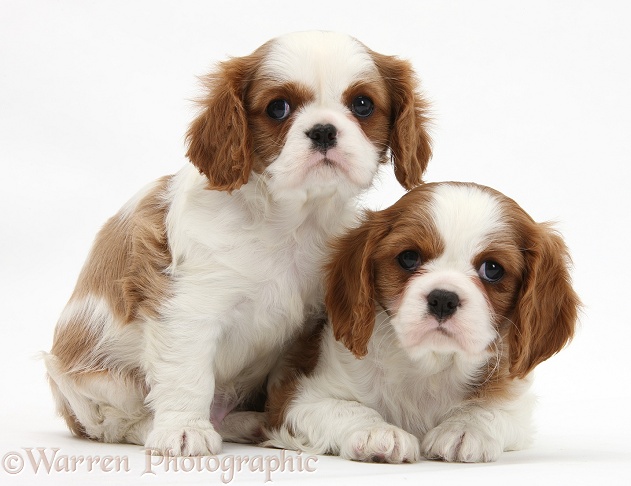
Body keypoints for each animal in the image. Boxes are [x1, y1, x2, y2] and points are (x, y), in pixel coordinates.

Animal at [43, 30, 430, 456]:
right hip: (98, 384)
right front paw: (184, 429)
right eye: (278, 108)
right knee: (114, 424)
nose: (324, 131)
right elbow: (187, 374)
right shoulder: (187, 309)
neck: (292, 220)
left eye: (362, 104)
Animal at [266, 182, 584, 464]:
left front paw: (464, 429)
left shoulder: (516, 409)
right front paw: (376, 431)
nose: (443, 299)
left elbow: (491, 412)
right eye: (409, 258)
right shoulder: (296, 398)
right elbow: (342, 408)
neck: (429, 365)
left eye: (493, 269)